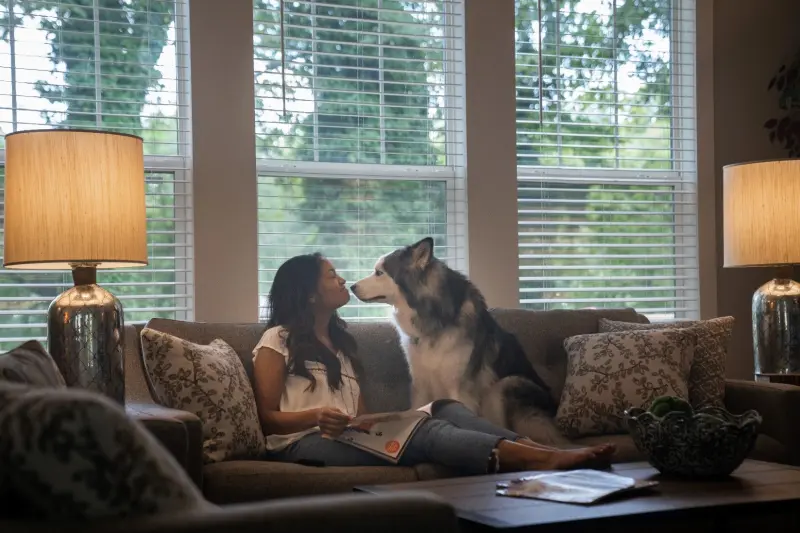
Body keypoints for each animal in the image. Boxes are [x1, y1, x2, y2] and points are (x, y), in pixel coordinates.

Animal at [354, 237, 564, 444]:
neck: (434, 318)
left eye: (379, 272)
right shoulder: (420, 385)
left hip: (506, 385)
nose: (352, 286)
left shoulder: (458, 388)